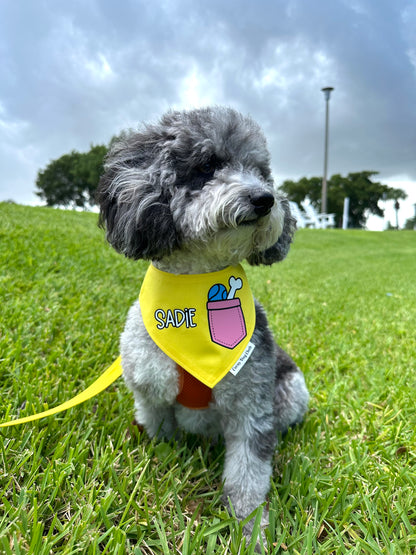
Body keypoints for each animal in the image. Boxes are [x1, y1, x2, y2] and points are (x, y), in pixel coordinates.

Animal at [97, 106, 310, 544]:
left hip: (293, 389)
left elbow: (248, 476)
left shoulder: (251, 407)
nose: (264, 198)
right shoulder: (148, 388)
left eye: (260, 171)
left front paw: (250, 531)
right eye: (208, 166)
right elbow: (158, 419)